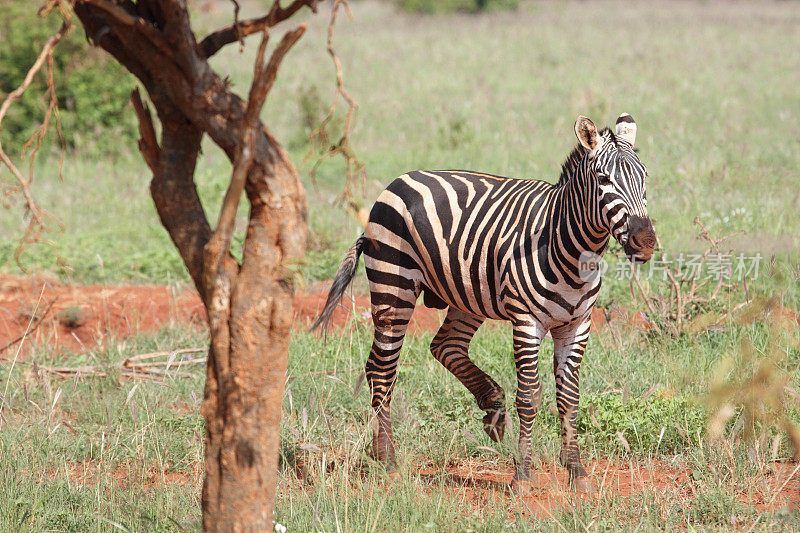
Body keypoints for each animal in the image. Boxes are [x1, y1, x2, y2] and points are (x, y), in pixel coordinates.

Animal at [312, 114, 656, 492]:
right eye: (603, 179)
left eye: (644, 177)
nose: (645, 241)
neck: (569, 247)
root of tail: (397, 181)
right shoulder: (526, 322)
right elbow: (530, 397)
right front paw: (522, 475)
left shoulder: (577, 325)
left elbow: (569, 398)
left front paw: (576, 472)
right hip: (394, 287)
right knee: (381, 369)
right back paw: (388, 460)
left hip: (465, 294)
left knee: (444, 346)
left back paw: (491, 408)